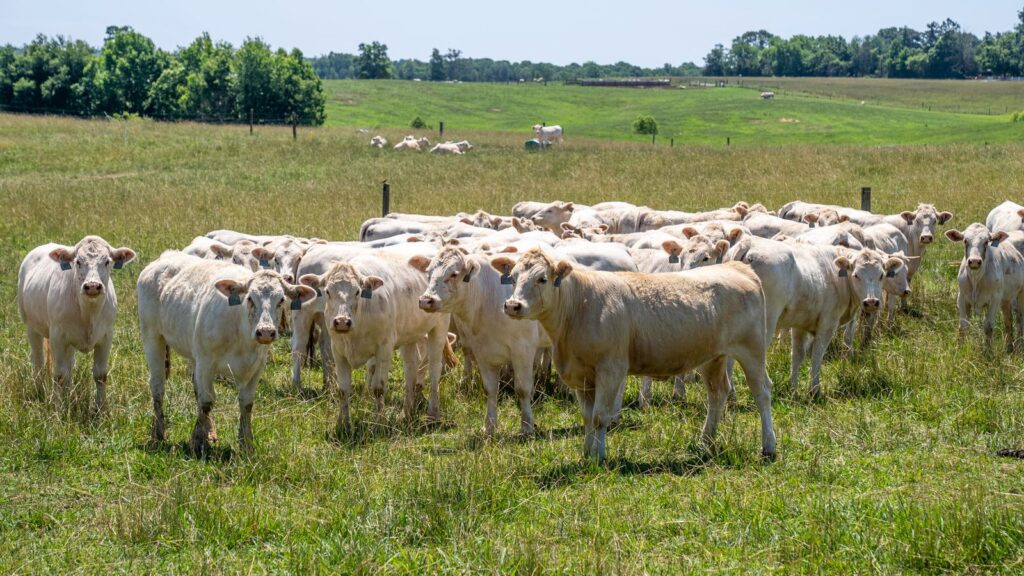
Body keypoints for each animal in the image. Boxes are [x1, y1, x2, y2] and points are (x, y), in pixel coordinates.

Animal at [18, 236, 136, 411]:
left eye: (107, 261)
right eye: (78, 262)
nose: (92, 286)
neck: (89, 313)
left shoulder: (106, 336)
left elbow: (100, 375)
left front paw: (100, 409)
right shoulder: (58, 337)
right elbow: (59, 375)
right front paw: (59, 409)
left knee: (69, 365)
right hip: (32, 327)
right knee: (38, 361)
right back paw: (40, 391)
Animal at [137, 252, 316, 455]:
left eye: (281, 300)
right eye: (250, 298)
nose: (265, 332)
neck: (242, 334)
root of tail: (166, 255)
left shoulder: (257, 367)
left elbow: (246, 404)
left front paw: (246, 445)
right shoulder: (206, 362)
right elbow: (206, 401)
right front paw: (198, 442)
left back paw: (209, 431)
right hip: (152, 337)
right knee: (158, 387)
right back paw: (158, 434)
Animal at [299, 252, 451, 434]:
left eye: (357, 291)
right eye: (327, 291)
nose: (342, 322)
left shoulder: (384, 349)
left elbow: (378, 388)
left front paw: (379, 424)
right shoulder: (338, 351)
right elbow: (343, 390)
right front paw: (343, 424)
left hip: (439, 327)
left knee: (434, 369)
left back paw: (432, 415)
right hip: (410, 335)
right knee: (411, 368)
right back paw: (406, 413)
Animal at [412, 246, 551, 436]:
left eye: (454, 274)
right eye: (428, 272)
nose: (426, 300)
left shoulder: (523, 350)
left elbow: (522, 389)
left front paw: (527, 426)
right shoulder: (482, 352)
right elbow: (490, 389)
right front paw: (489, 426)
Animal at [491, 248, 777, 461]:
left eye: (541, 278)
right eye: (513, 277)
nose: (512, 305)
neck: (579, 306)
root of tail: (737, 268)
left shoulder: (611, 369)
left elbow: (600, 416)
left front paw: (599, 457)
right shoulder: (581, 376)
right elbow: (587, 417)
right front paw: (586, 453)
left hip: (752, 350)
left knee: (762, 392)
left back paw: (768, 446)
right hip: (712, 357)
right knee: (717, 393)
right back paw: (705, 441)